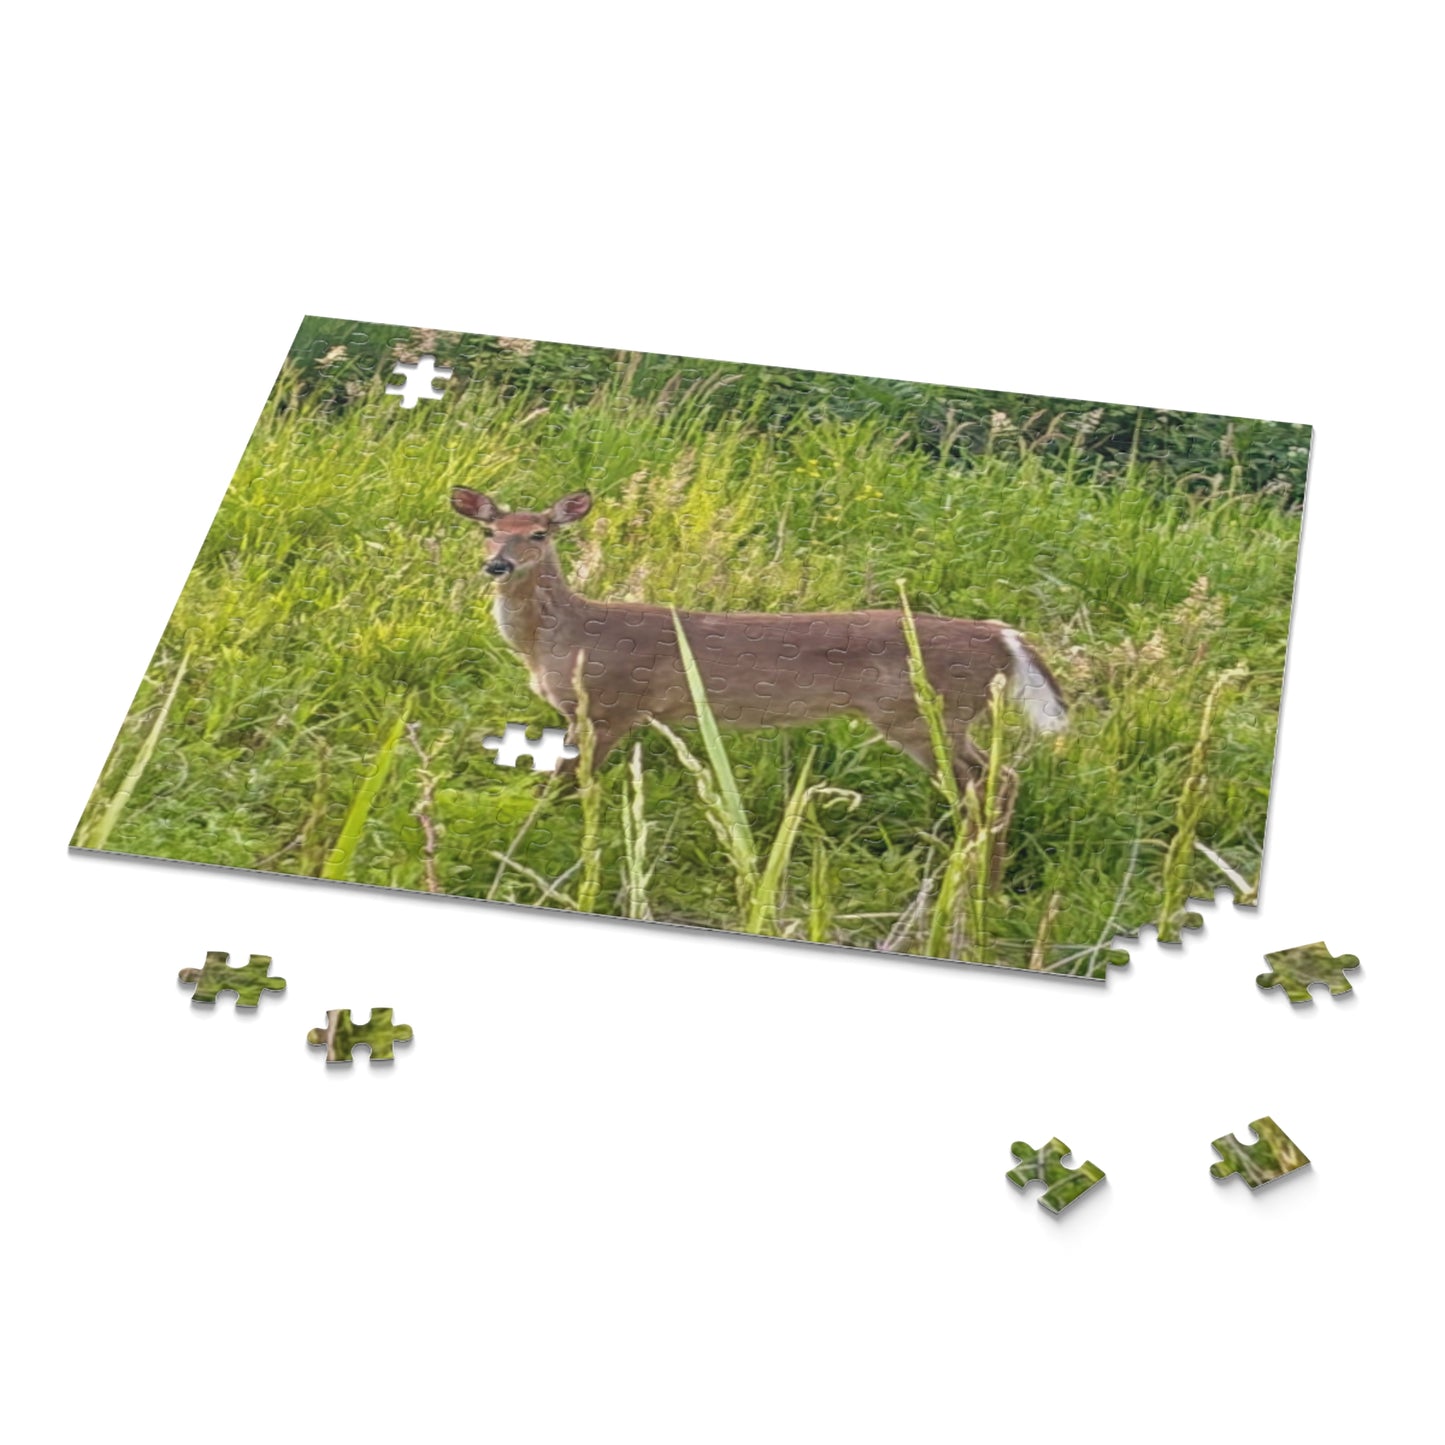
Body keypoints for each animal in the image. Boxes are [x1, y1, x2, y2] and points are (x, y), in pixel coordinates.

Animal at [450, 487, 1067, 874]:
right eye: (488, 530)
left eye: (539, 533)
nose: (498, 565)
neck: (564, 638)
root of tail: (1002, 636)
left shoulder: (610, 704)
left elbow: (568, 783)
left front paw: (534, 843)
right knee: (998, 778)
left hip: (925, 713)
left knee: (991, 782)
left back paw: (976, 884)